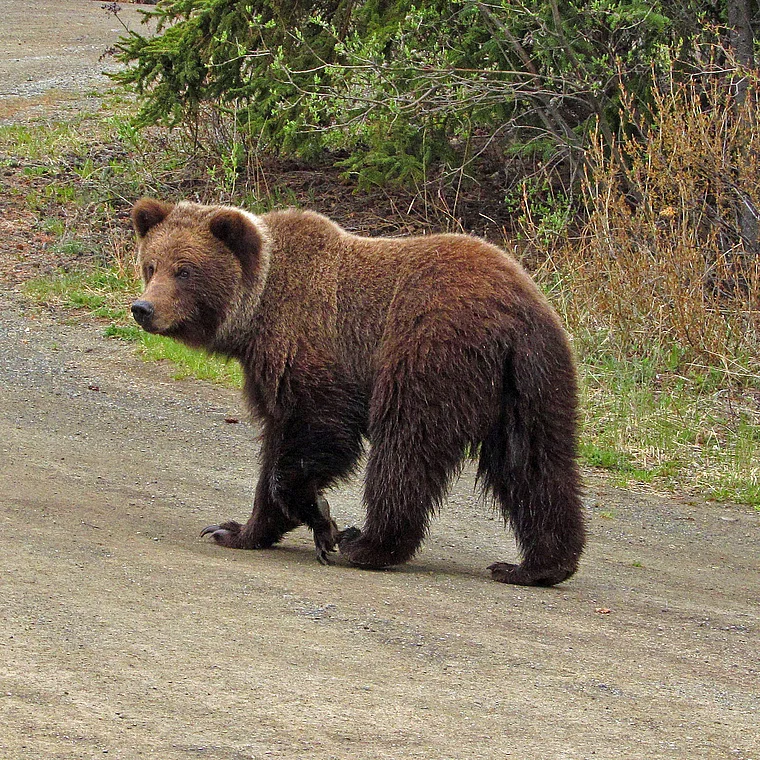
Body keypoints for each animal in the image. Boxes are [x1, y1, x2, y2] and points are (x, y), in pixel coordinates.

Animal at [130, 197, 586, 586]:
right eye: (151, 265)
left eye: (184, 270)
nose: (143, 308)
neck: (257, 311)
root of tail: (515, 310)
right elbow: (276, 444)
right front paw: (236, 530)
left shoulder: (309, 349)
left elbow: (317, 435)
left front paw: (323, 521)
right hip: (533, 380)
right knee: (535, 462)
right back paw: (537, 566)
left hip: (429, 355)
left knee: (406, 449)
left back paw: (368, 544)